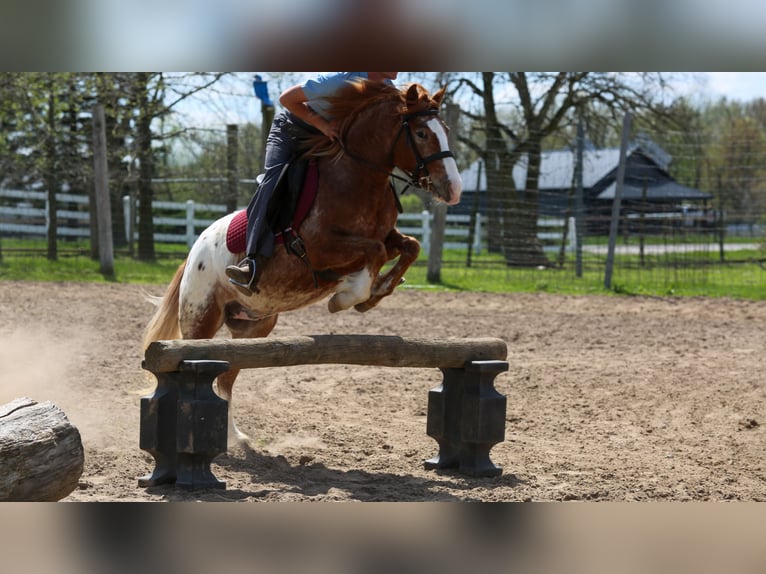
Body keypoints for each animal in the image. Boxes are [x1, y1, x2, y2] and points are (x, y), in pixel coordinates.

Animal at [142, 81, 462, 443]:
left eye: (446, 130)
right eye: (421, 133)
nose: (453, 189)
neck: (358, 180)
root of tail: (193, 252)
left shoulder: (385, 236)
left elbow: (409, 247)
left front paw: (374, 293)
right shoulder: (318, 247)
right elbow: (375, 253)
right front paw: (346, 296)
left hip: (253, 328)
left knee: (226, 376)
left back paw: (234, 437)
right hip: (201, 318)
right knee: (196, 362)